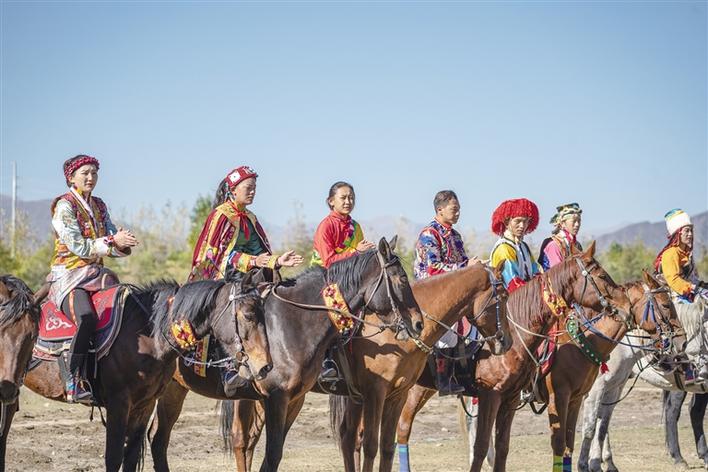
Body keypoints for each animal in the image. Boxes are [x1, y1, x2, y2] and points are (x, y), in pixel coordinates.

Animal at [16, 272, 271, 472]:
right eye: (248, 314)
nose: (265, 366)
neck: (149, 335)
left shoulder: (145, 404)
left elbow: (129, 458)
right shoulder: (118, 404)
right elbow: (113, 458)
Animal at [149, 237, 425, 472]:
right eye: (401, 279)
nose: (418, 323)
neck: (291, 323)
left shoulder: (294, 400)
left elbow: (275, 453)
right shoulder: (276, 398)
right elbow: (272, 456)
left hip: (173, 389)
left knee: (159, 440)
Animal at [395, 242, 633, 472]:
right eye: (602, 276)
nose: (626, 307)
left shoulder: (516, 399)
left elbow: (506, 448)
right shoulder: (497, 395)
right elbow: (482, 447)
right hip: (412, 390)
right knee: (403, 429)